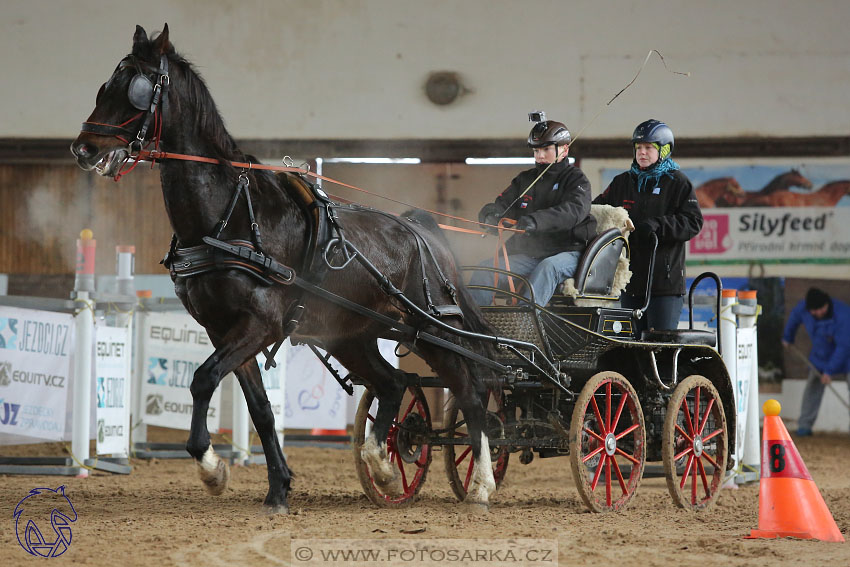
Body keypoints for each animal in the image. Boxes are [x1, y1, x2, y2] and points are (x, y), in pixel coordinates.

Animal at [73, 24, 500, 516]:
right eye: (106, 85)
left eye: (137, 89)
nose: (83, 148)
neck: (228, 217)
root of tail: (423, 230)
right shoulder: (222, 329)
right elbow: (259, 409)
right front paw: (277, 487)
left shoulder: (260, 323)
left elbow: (202, 381)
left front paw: (212, 469)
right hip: (351, 335)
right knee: (395, 383)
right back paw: (385, 468)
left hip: (432, 330)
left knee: (470, 391)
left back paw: (479, 485)